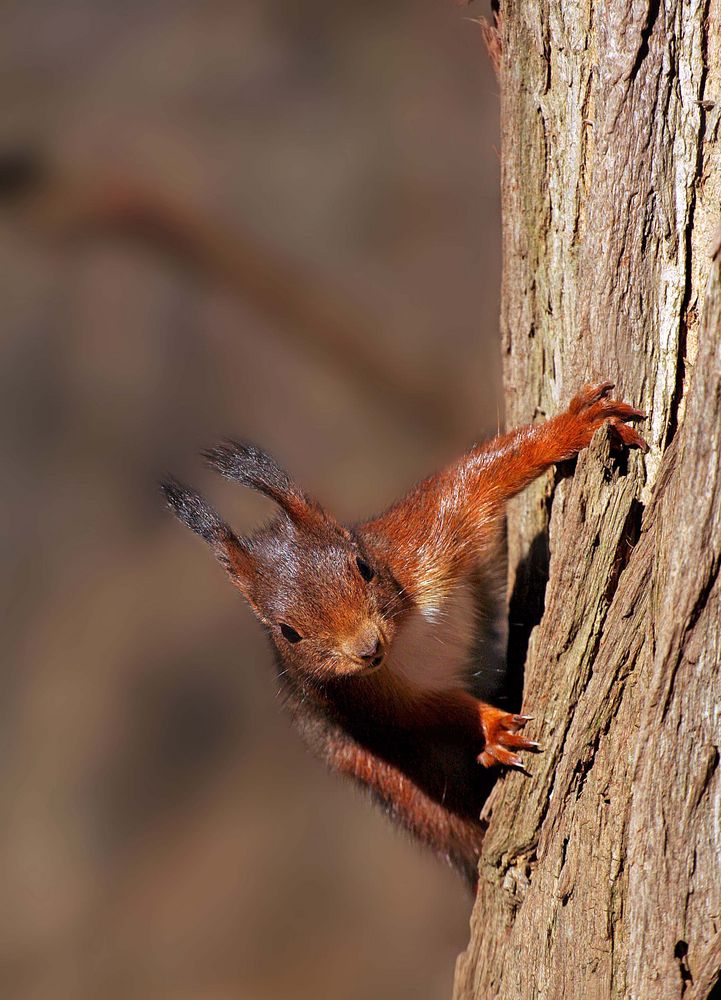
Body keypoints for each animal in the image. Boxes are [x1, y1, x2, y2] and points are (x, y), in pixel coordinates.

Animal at [162, 380, 648, 884]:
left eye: (363, 565)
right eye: (287, 632)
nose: (366, 649)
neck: (404, 633)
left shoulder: (423, 535)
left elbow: (482, 477)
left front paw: (574, 427)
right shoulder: (351, 697)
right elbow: (425, 715)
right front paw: (491, 728)